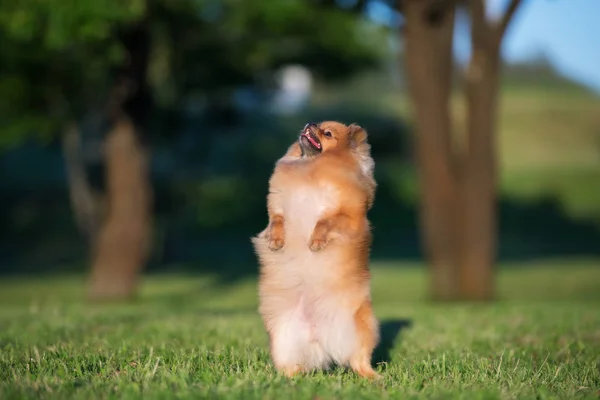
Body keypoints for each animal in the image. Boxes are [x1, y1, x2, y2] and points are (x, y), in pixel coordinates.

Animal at [252, 121, 380, 378]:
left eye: (327, 133)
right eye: (317, 124)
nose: (309, 124)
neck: (309, 168)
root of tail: (320, 337)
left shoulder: (346, 217)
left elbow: (324, 222)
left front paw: (316, 242)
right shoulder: (278, 208)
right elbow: (277, 221)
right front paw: (275, 241)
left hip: (363, 327)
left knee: (360, 361)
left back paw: (374, 378)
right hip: (283, 342)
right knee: (291, 367)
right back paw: (288, 379)